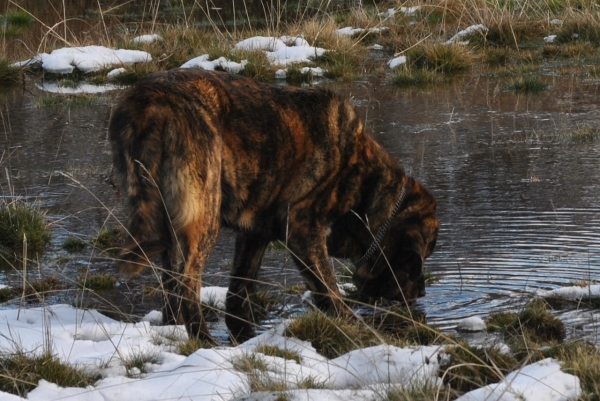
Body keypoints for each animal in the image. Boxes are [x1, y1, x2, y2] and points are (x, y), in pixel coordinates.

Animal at [110, 68, 438, 340]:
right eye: (415, 260)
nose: (423, 293)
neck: (364, 180)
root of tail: (150, 102)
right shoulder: (303, 231)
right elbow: (329, 291)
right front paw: (358, 328)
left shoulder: (255, 235)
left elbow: (238, 293)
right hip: (202, 221)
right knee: (186, 288)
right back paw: (204, 341)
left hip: (170, 224)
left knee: (171, 289)